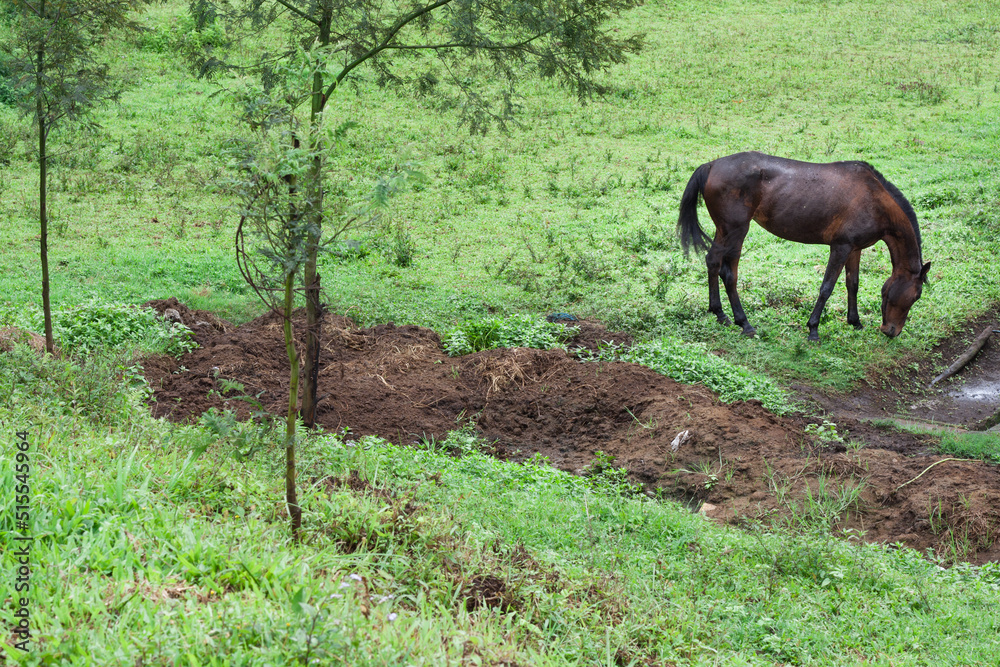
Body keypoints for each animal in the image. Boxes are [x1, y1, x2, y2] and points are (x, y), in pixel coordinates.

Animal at [677, 151, 930, 342]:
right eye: (915, 296)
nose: (891, 331)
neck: (875, 199)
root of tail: (711, 165)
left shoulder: (854, 249)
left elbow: (853, 284)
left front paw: (855, 322)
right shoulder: (840, 247)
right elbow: (827, 287)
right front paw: (813, 329)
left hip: (724, 230)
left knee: (714, 263)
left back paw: (720, 314)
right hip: (736, 231)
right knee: (728, 273)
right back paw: (743, 322)